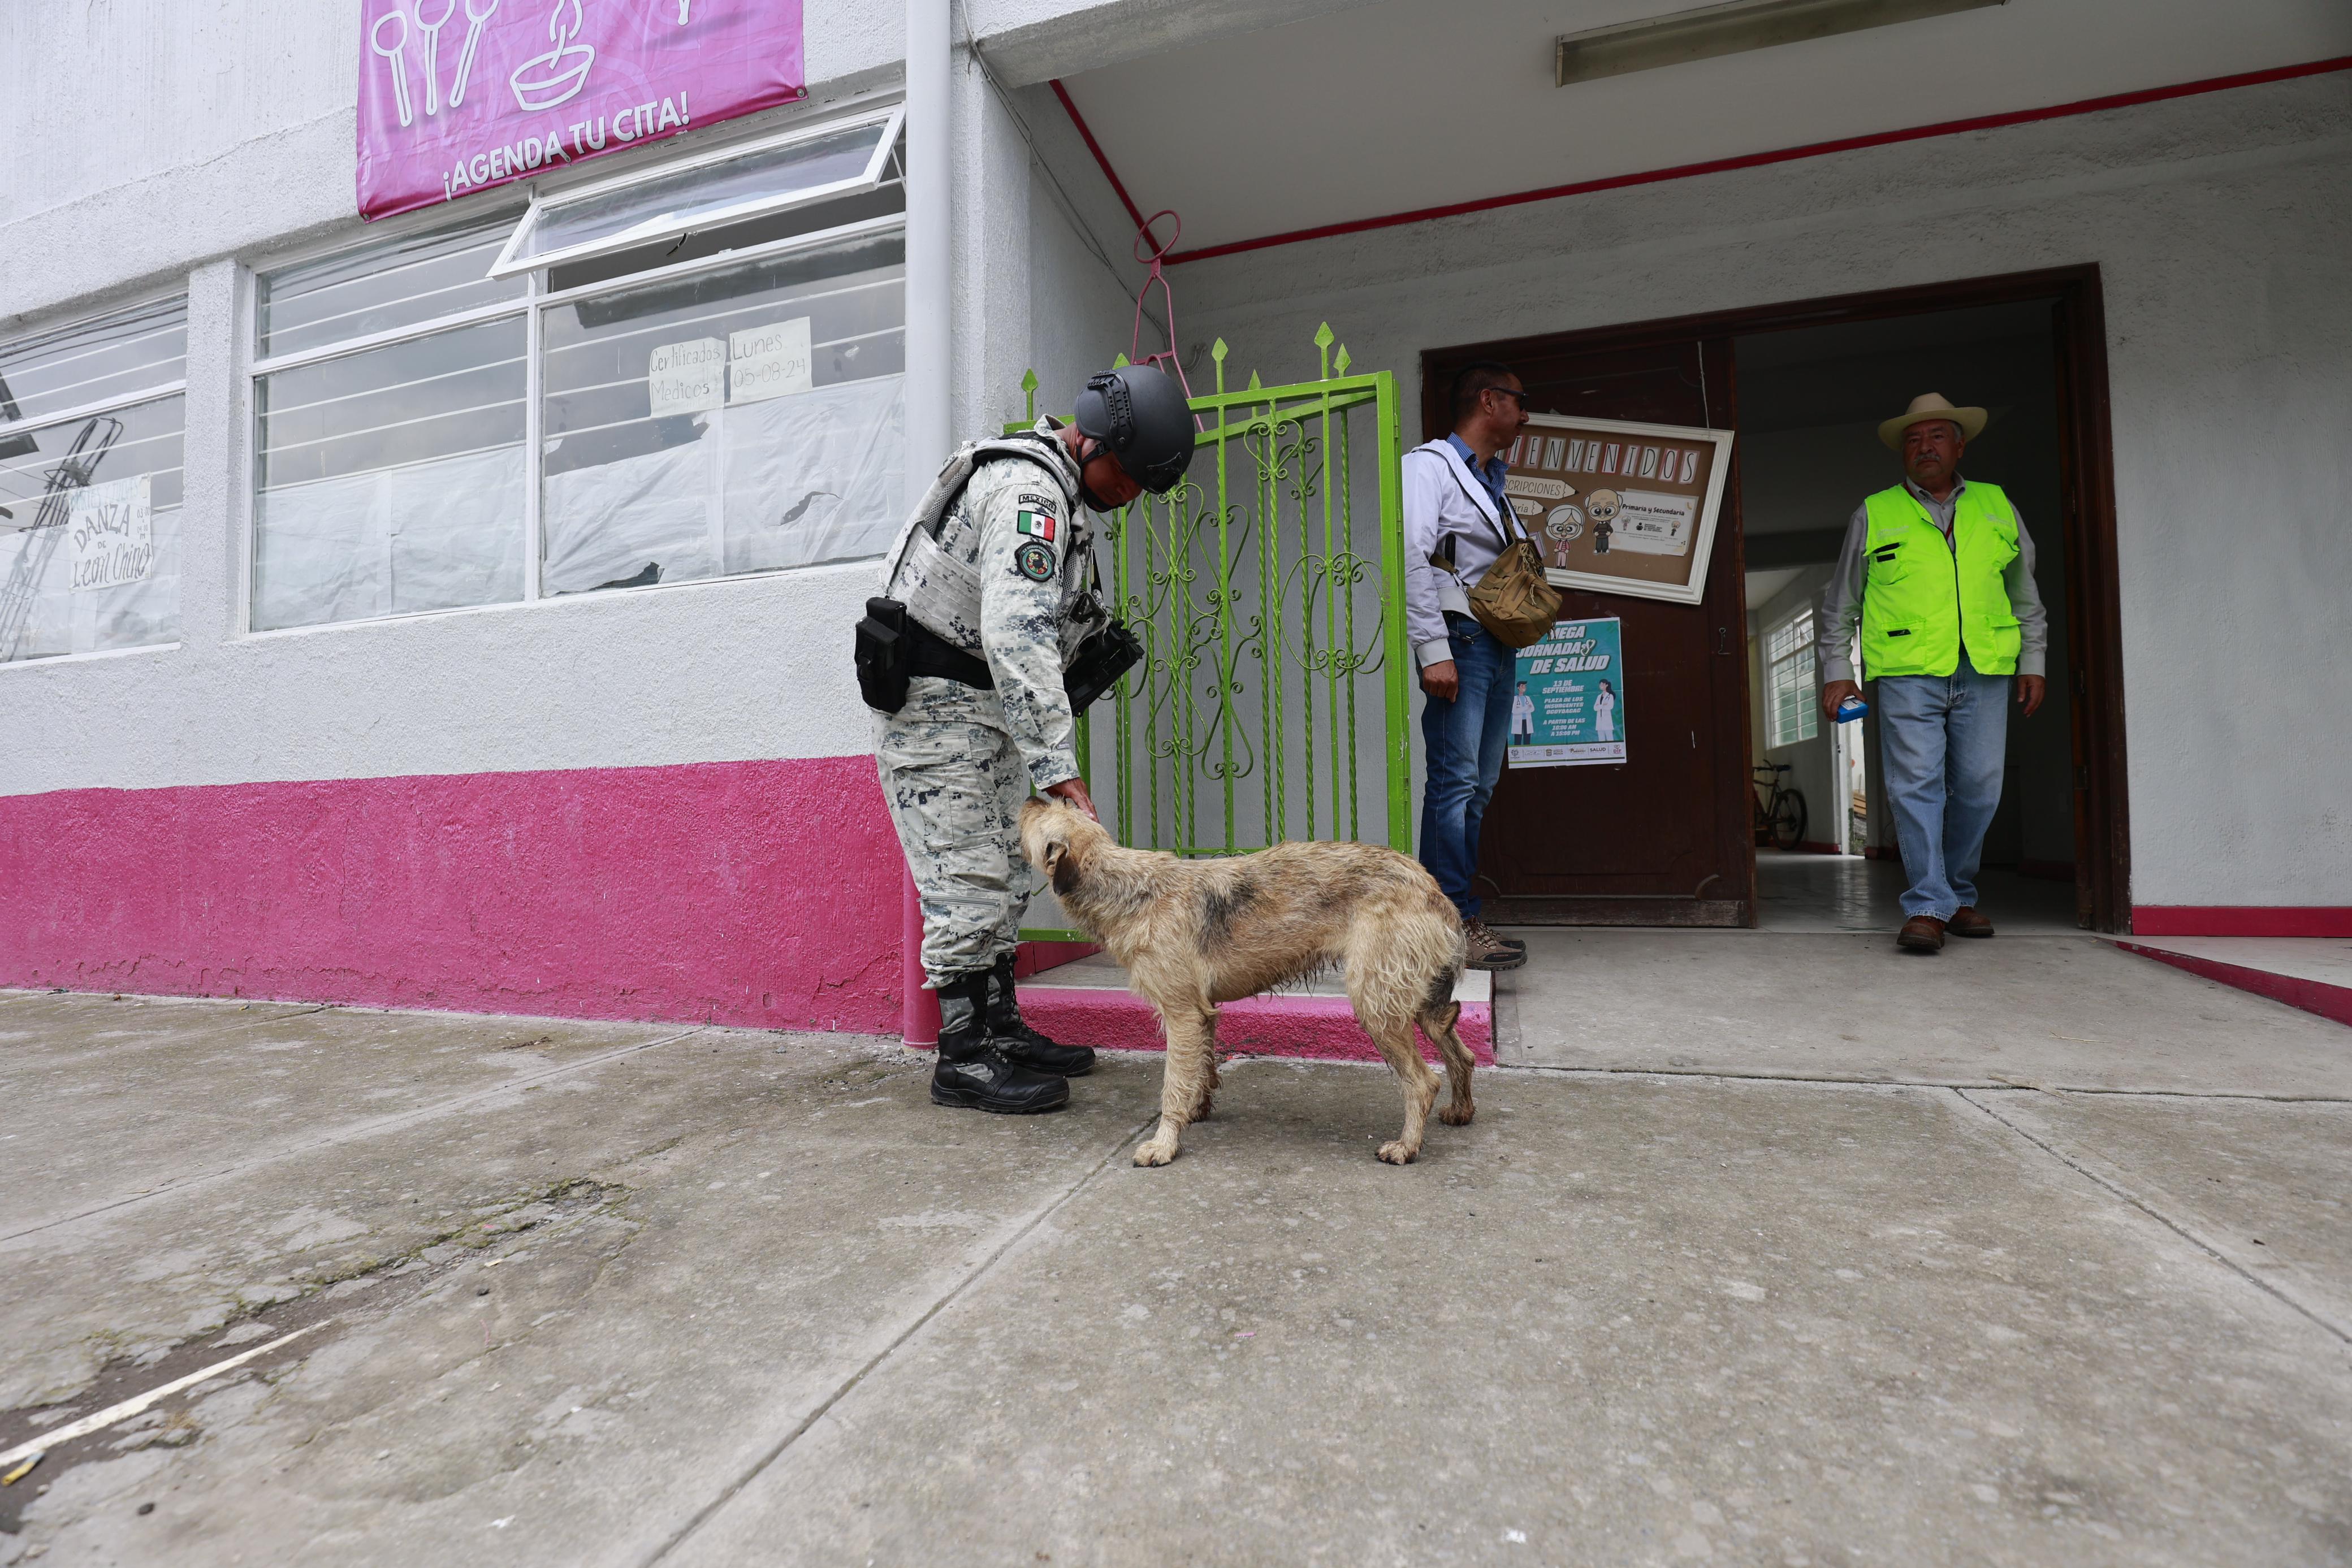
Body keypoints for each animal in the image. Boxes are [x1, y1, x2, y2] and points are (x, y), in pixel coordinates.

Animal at [1011, 804, 1467, 1171]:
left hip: (1376, 999)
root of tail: (1433, 890)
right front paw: (1197, 1109)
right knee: (1459, 1050)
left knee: (1422, 1081)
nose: (1030, 797)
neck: (1127, 888)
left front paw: (1164, 1143)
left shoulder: (1181, 1013)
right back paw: (1461, 1111)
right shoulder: (1202, 1011)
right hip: (1413, 997)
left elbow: (1173, 1083)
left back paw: (1407, 1146)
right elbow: (1201, 1067)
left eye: (1041, 814)